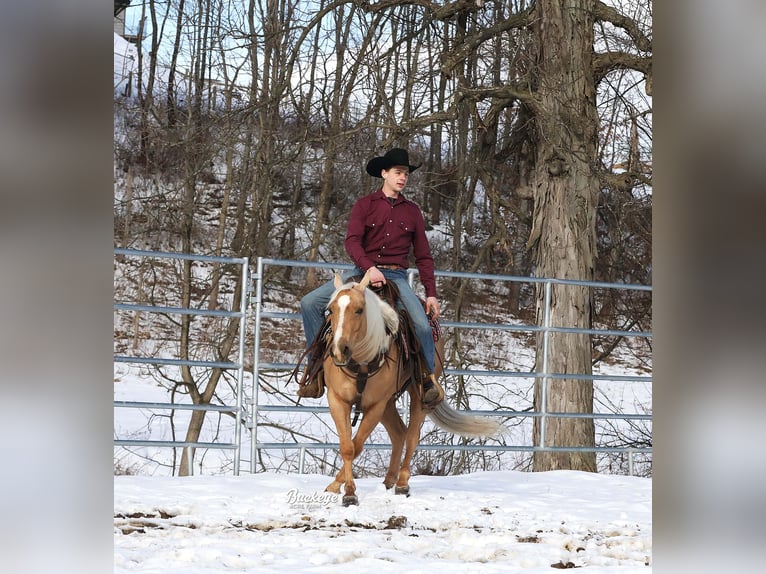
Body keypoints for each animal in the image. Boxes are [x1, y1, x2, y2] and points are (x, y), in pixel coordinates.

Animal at [322, 268, 504, 506]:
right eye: (331, 310)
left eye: (359, 310)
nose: (339, 350)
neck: (362, 361)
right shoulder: (338, 400)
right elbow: (347, 447)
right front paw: (339, 488)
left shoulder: (375, 405)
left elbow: (357, 445)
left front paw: (350, 493)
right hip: (389, 402)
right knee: (399, 433)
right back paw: (388, 480)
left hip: (417, 397)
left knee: (411, 436)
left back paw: (401, 483)